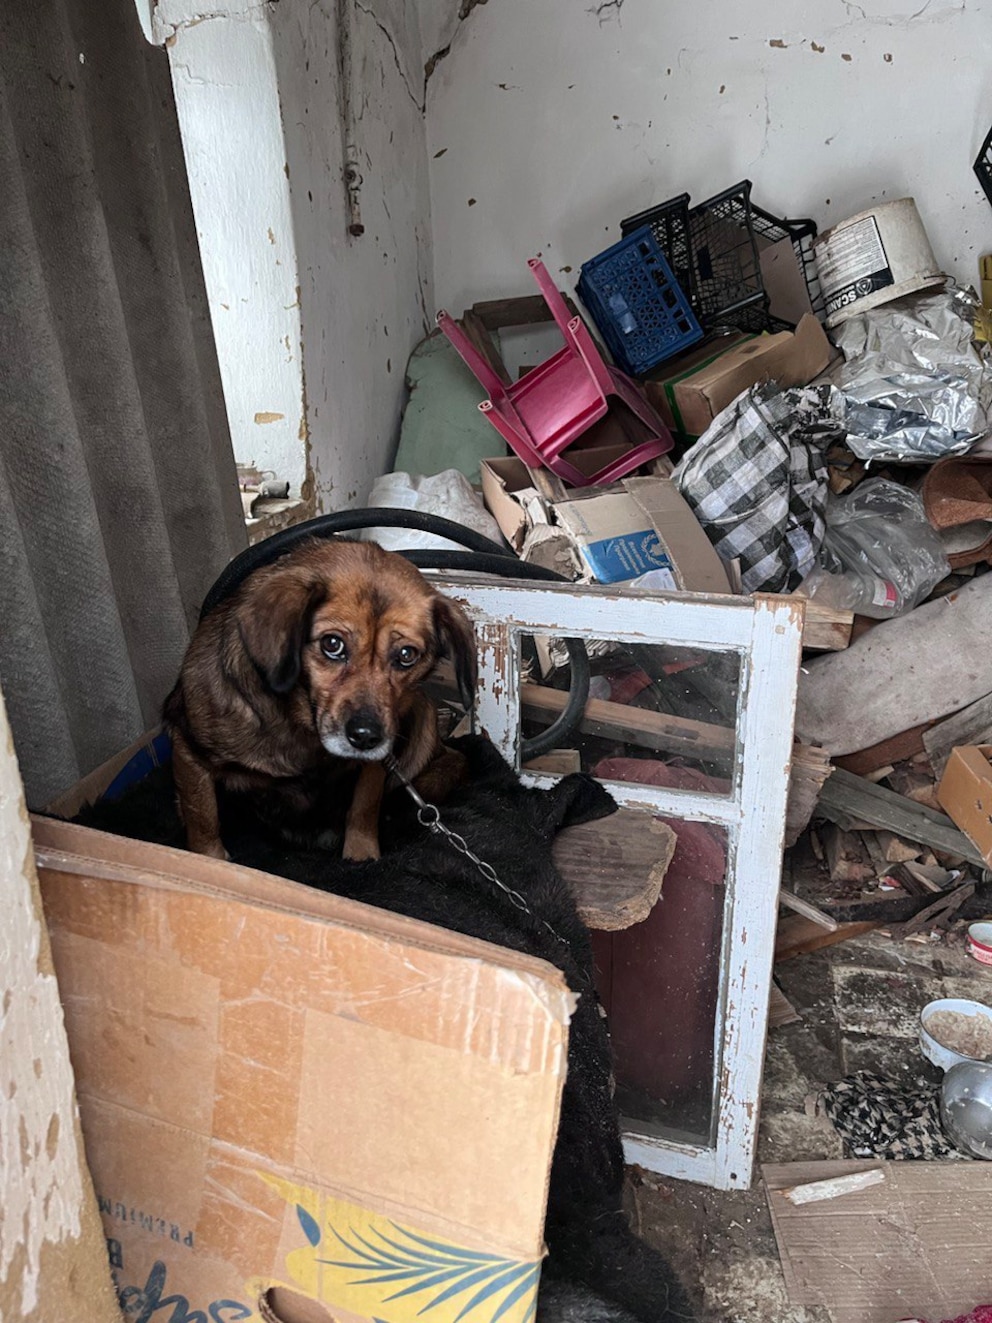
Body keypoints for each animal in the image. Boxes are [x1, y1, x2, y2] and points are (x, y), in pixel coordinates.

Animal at [162, 534, 478, 857]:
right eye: (332, 644)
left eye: (406, 655)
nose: (366, 737)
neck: (302, 725)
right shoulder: (188, 750)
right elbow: (203, 820)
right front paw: (209, 858)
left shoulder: (377, 762)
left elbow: (364, 806)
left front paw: (361, 856)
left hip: (425, 715)